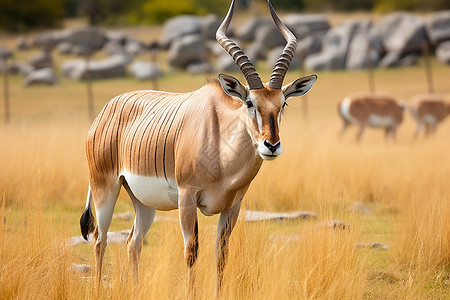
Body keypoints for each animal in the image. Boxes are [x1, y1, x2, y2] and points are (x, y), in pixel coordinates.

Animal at [78, 0, 316, 296]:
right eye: (249, 102)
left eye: (283, 103)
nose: (271, 145)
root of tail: (105, 112)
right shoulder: (187, 198)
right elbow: (191, 251)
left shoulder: (233, 206)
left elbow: (222, 253)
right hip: (105, 188)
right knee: (100, 238)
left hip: (143, 202)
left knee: (133, 241)